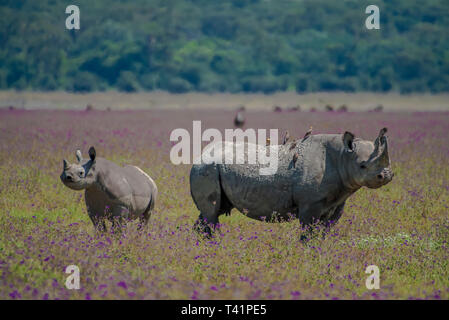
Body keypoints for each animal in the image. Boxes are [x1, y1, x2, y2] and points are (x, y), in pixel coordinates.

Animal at [189, 127, 392, 235]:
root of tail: (200, 156)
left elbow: (324, 232)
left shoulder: (337, 201)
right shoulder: (310, 204)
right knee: (211, 213)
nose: (386, 176)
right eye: (362, 166)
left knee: (212, 212)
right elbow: (308, 234)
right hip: (206, 169)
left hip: (211, 169)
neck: (343, 155)